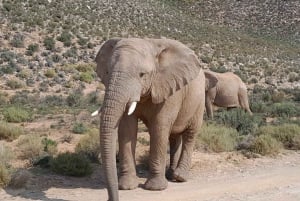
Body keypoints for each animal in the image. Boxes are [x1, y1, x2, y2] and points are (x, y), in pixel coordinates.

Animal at [94, 37, 209, 201]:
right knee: (174, 137)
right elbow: (127, 129)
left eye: (142, 74)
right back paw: (170, 175)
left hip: (199, 101)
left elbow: (159, 128)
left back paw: (180, 177)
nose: (111, 198)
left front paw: (155, 188)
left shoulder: (170, 90)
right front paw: (127, 187)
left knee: (190, 134)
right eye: (108, 72)